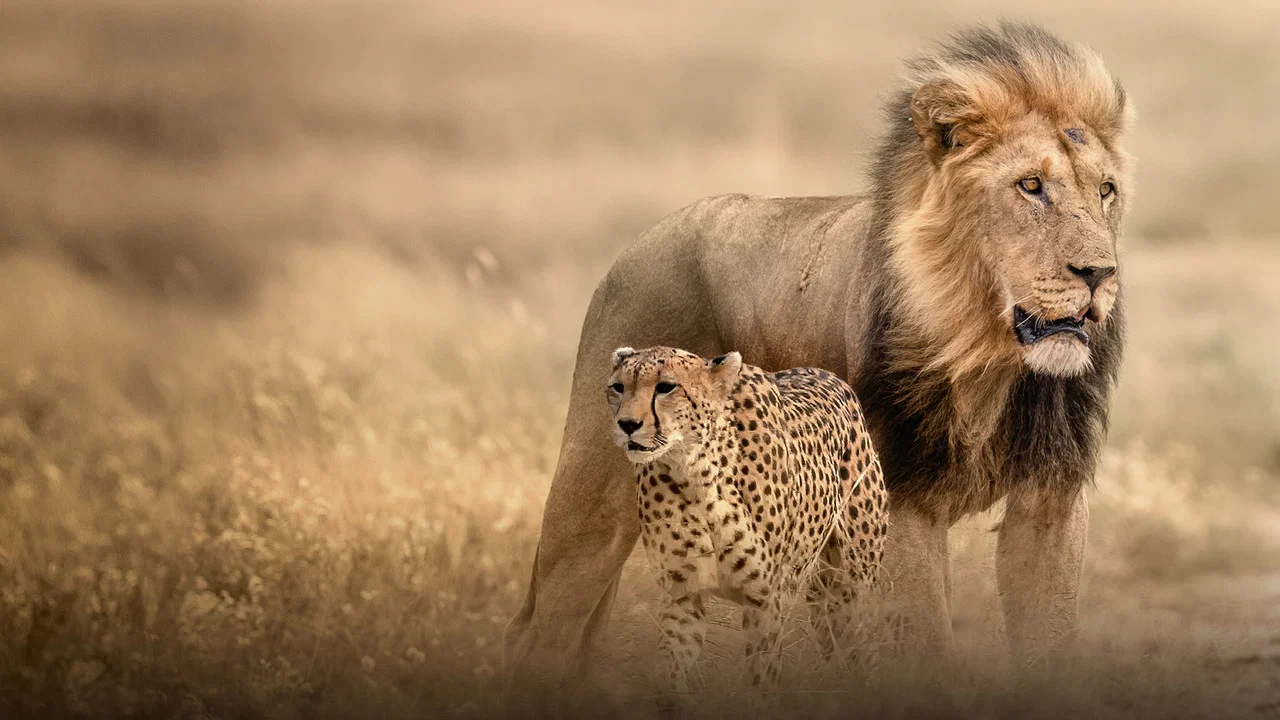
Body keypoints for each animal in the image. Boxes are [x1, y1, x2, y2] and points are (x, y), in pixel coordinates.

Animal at [503, 22, 1132, 706]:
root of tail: (639, 246)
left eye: (1106, 191)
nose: (1100, 274)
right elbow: (926, 648)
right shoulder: (903, 500)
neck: (985, 359)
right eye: (1030, 186)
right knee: (541, 633)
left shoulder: (1050, 499)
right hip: (592, 498)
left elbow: (1048, 640)